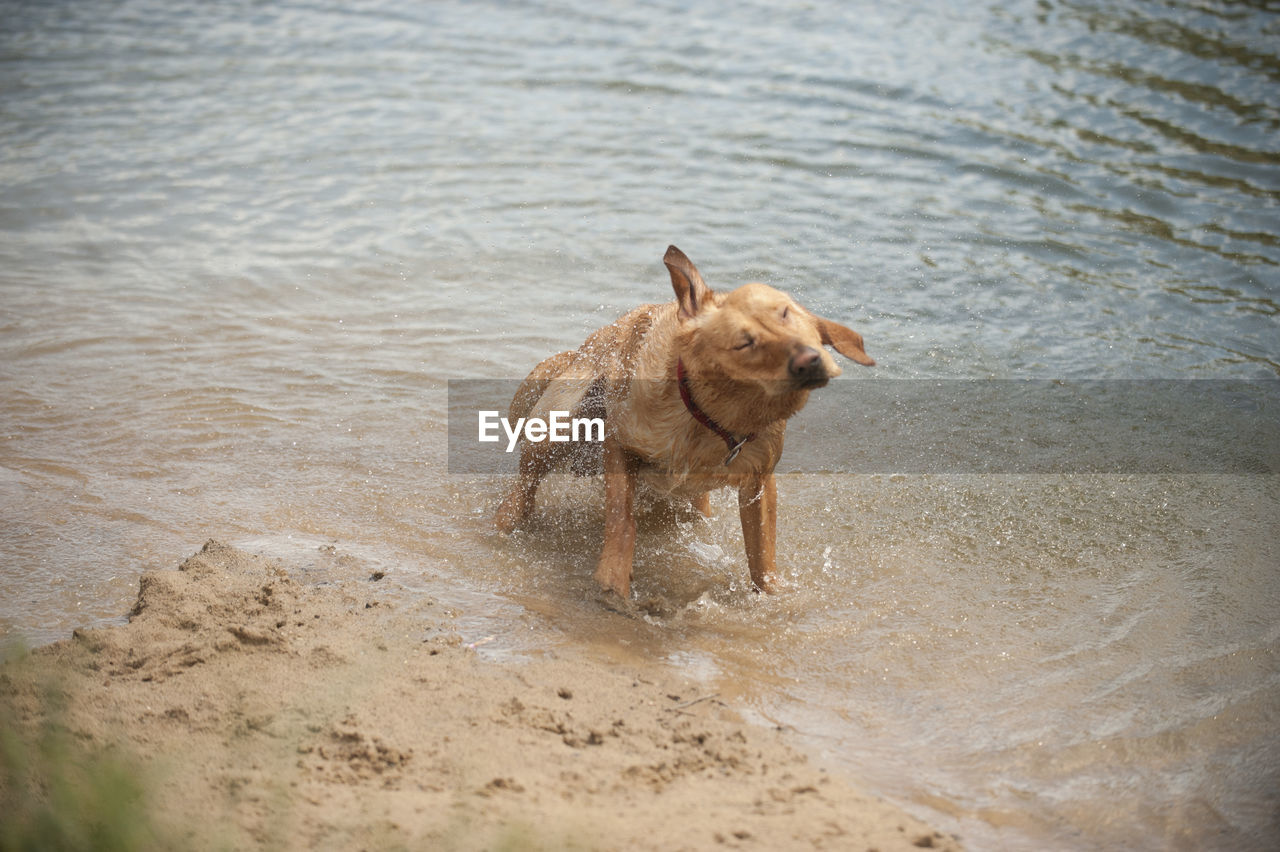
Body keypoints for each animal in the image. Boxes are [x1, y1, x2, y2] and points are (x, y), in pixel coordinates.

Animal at [488, 241, 870, 593]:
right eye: (744, 343)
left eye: (787, 315)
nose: (810, 361)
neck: (711, 420)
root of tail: (580, 349)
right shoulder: (619, 443)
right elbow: (621, 519)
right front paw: (614, 579)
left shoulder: (760, 480)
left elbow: (762, 556)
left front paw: (771, 597)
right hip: (557, 424)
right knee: (521, 494)